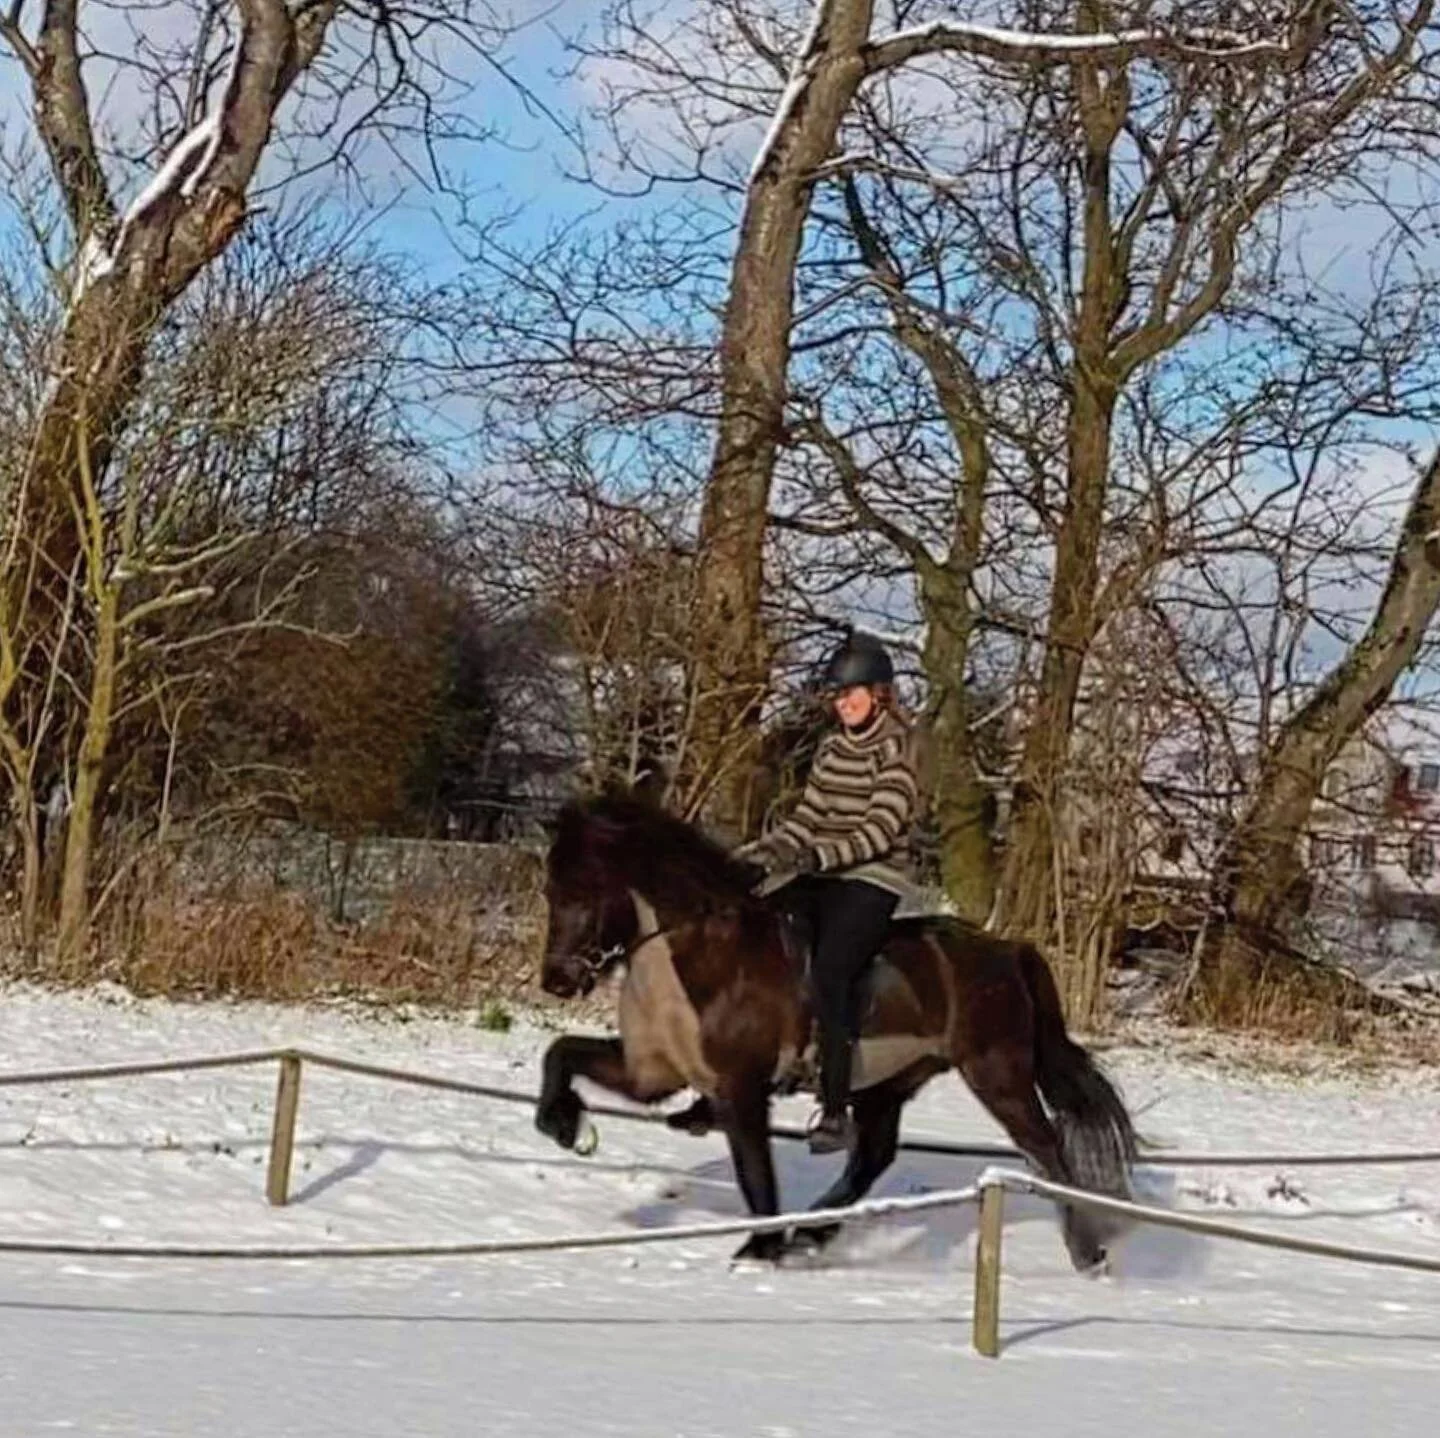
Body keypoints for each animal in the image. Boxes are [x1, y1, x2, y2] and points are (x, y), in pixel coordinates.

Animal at [534, 790, 1137, 1268]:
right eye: (550, 891)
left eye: (586, 889)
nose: (556, 979)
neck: (698, 954)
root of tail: (1008, 951)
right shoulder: (651, 1073)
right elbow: (561, 1053)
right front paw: (565, 1126)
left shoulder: (741, 1088)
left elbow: (754, 1170)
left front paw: (759, 1250)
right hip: (891, 1083)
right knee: (872, 1159)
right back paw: (810, 1233)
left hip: (997, 1074)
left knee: (1046, 1149)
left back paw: (1089, 1255)